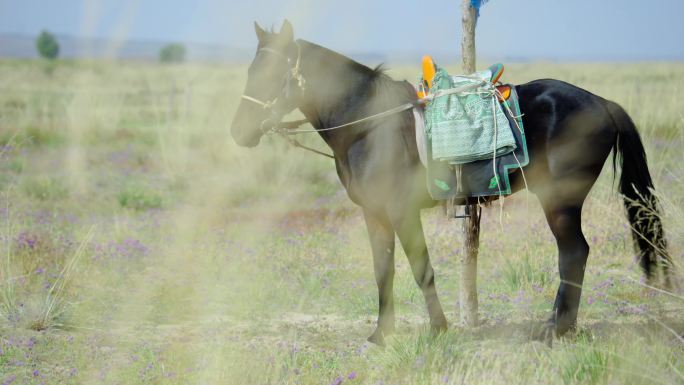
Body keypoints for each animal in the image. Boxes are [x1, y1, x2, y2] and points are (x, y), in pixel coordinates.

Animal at [232, 20, 672, 344]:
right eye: (251, 71)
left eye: (272, 74)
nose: (239, 132)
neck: (369, 126)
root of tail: (602, 103)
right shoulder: (375, 214)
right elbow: (384, 271)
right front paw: (381, 334)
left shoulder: (402, 211)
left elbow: (421, 268)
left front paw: (438, 329)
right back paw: (563, 327)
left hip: (559, 202)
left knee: (574, 253)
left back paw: (555, 329)